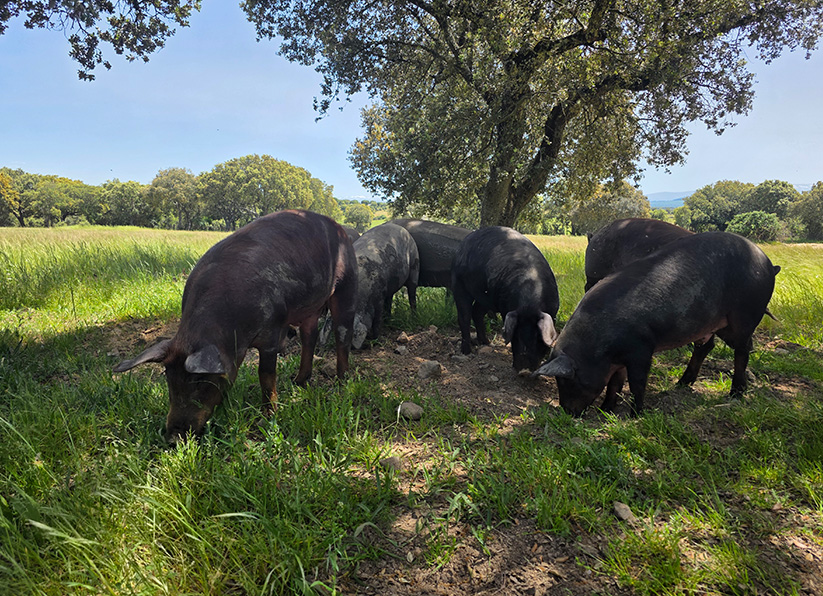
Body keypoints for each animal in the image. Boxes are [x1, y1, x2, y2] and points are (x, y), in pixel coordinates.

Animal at [113, 209, 358, 444]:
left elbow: (265, 375)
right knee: (310, 335)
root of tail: (338, 227)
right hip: (309, 307)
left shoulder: (272, 331)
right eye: (169, 379)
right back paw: (298, 382)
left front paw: (268, 418)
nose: (173, 439)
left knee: (342, 333)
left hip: (347, 284)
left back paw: (342, 383)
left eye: (200, 383)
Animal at [451, 226, 560, 371]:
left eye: (538, 336)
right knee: (464, 316)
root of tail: (462, 245)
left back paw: (487, 343)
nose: (524, 369)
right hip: (458, 284)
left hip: (486, 298)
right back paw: (467, 351)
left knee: (477, 312)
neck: (529, 304)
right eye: (515, 335)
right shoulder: (504, 309)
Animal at [535, 231, 780, 417]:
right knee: (706, 347)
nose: (568, 412)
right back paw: (682, 384)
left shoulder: (642, 349)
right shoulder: (618, 361)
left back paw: (735, 394)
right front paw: (607, 410)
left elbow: (636, 382)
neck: (597, 348)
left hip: (744, 316)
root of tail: (768, 263)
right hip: (714, 324)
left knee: (743, 349)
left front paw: (635, 414)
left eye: (568, 381)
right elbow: (615, 384)